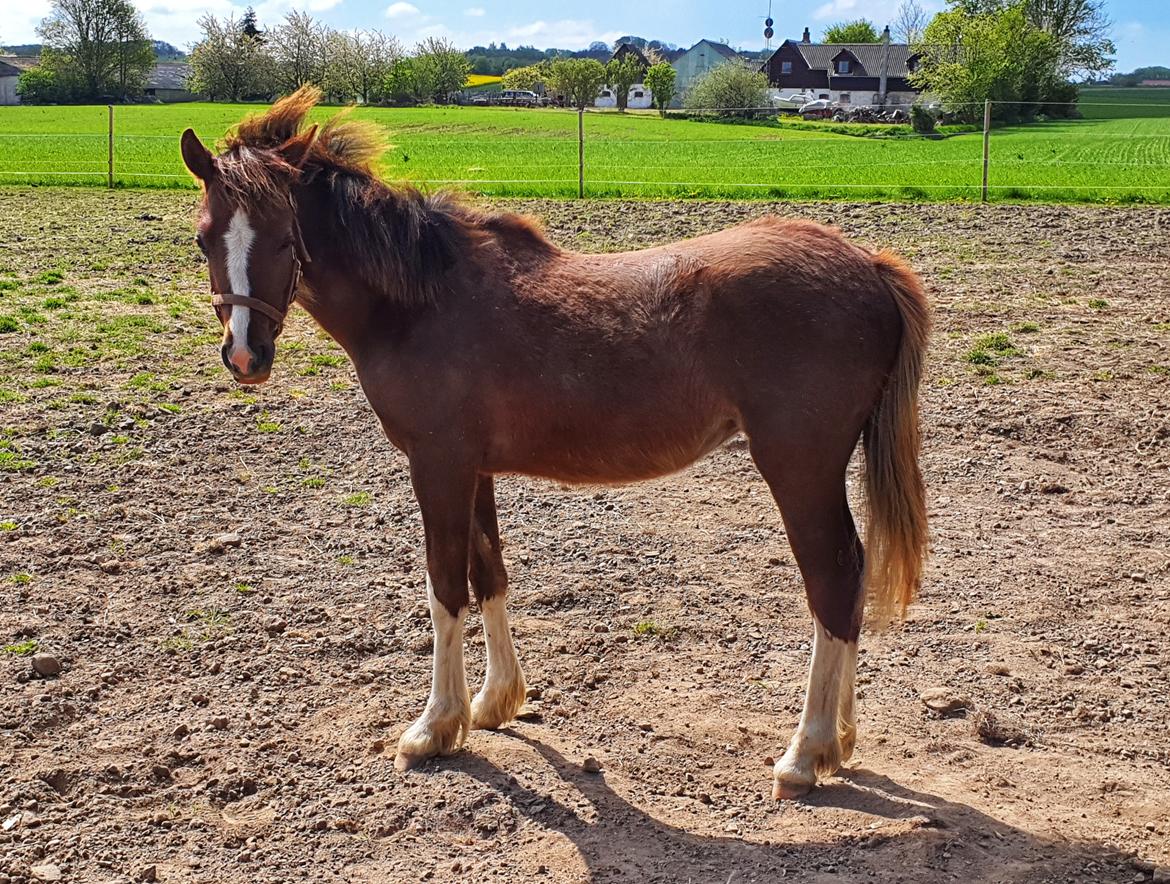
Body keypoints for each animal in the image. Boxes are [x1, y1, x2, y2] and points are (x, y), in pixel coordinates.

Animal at [179, 86, 930, 799]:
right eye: (204, 238)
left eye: (286, 237)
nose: (245, 356)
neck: (419, 301)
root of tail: (867, 263)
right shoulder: (473, 468)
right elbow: (489, 573)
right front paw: (493, 702)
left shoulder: (437, 464)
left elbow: (445, 584)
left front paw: (434, 725)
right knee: (851, 578)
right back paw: (841, 740)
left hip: (798, 465)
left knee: (833, 580)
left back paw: (806, 753)